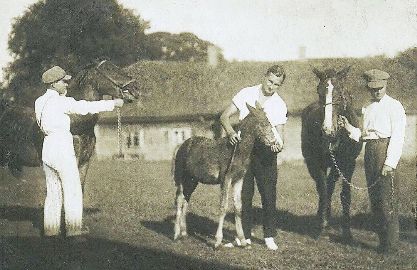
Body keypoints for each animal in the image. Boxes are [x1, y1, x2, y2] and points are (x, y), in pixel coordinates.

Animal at [172, 102, 276, 249]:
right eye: (262, 123)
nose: (273, 141)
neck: (237, 151)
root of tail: (181, 146)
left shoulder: (238, 180)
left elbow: (238, 207)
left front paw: (243, 241)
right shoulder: (226, 179)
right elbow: (223, 206)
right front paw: (217, 241)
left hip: (192, 180)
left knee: (186, 199)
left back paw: (184, 233)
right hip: (182, 177)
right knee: (180, 199)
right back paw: (176, 234)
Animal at [300, 66, 362, 239]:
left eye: (340, 92)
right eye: (319, 91)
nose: (328, 130)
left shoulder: (348, 163)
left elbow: (344, 194)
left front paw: (347, 232)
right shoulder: (316, 162)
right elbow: (323, 189)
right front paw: (321, 225)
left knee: (331, 184)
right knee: (323, 187)